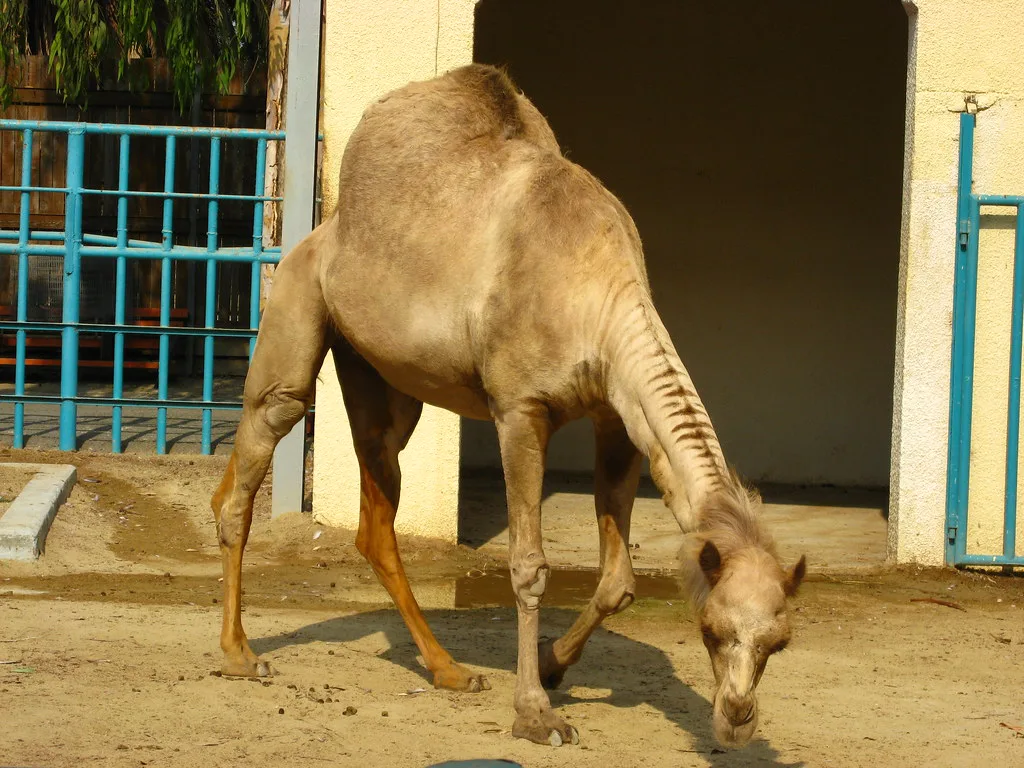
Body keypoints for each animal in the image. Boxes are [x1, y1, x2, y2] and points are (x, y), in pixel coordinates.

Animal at [211, 63, 806, 749]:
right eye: (711, 630)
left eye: (779, 642)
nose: (737, 719)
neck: (594, 289)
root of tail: (323, 229)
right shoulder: (520, 409)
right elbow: (527, 565)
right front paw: (535, 713)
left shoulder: (616, 416)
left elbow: (619, 581)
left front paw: (549, 666)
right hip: (296, 301)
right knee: (263, 438)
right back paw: (240, 654)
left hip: (380, 379)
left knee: (375, 510)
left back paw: (449, 670)